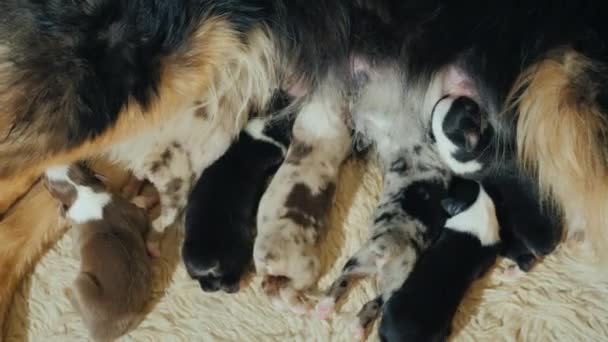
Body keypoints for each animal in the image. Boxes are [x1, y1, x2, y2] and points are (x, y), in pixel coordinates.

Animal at [43, 164, 151, 340]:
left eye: (47, 184)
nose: (43, 171)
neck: (80, 188)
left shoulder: (76, 236)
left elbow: (74, 249)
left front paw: (60, 209)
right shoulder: (127, 208)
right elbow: (141, 218)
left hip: (81, 282)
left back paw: (67, 292)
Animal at [182, 112, 294, 294]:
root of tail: (209, 262)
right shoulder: (273, 152)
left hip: (194, 268)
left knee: (207, 286)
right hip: (239, 254)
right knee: (230, 284)